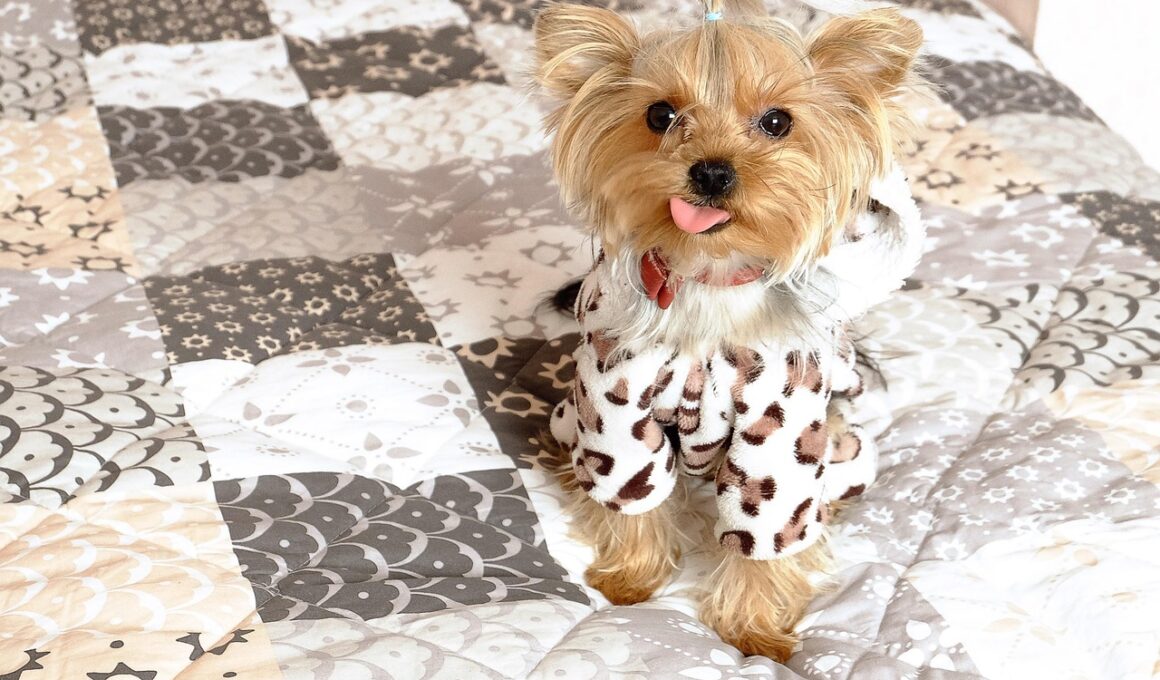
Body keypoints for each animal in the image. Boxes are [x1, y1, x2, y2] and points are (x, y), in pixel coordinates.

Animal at [534, 0, 926, 660]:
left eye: (776, 121)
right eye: (660, 115)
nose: (713, 173)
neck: (711, 277)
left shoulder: (781, 436)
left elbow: (764, 528)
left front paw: (754, 629)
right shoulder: (617, 408)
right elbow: (633, 492)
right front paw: (631, 580)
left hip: (844, 450)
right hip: (571, 415)